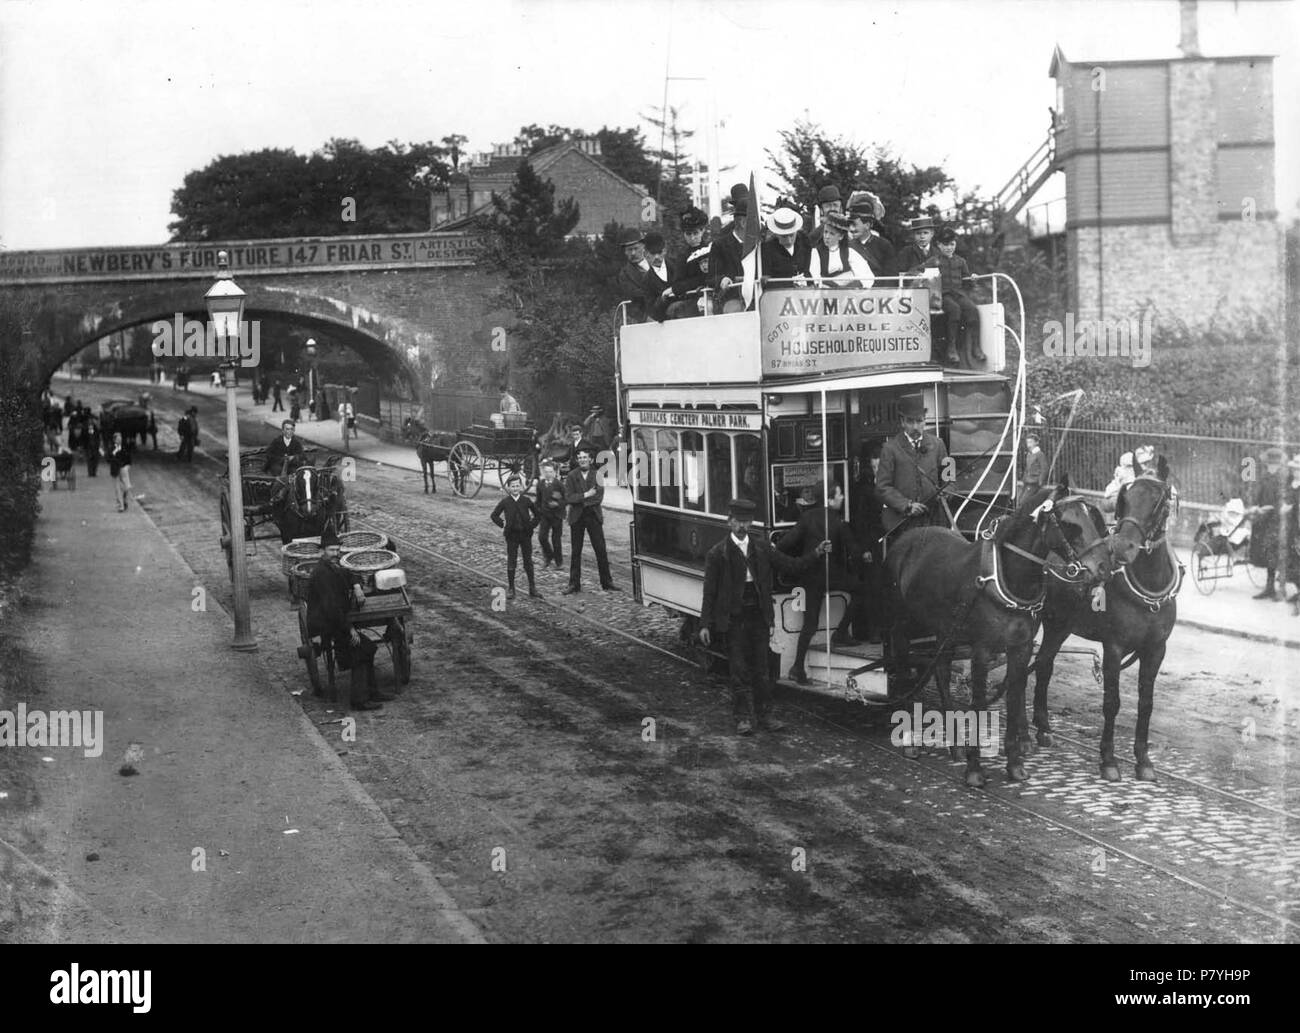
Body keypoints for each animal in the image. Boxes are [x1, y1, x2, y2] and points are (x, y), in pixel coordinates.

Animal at [883, 480, 1118, 790]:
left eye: (1093, 518)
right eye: (1070, 523)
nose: (1104, 568)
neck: (1009, 579)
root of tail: (906, 539)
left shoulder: (1020, 648)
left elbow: (1014, 698)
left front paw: (1015, 764)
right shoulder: (982, 650)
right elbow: (978, 704)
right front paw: (974, 770)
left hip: (944, 630)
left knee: (941, 671)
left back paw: (954, 742)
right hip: (903, 623)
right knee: (901, 660)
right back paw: (908, 736)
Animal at [1029, 462, 1185, 784]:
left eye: (1158, 501)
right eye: (1124, 496)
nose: (1122, 548)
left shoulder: (1156, 650)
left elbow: (1146, 704)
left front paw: (1143, 761)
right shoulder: (1114, 647)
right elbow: (1112, 703)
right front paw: (1109, 760)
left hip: (1058, 625)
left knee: (1044, 665)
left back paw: (1044, 728)